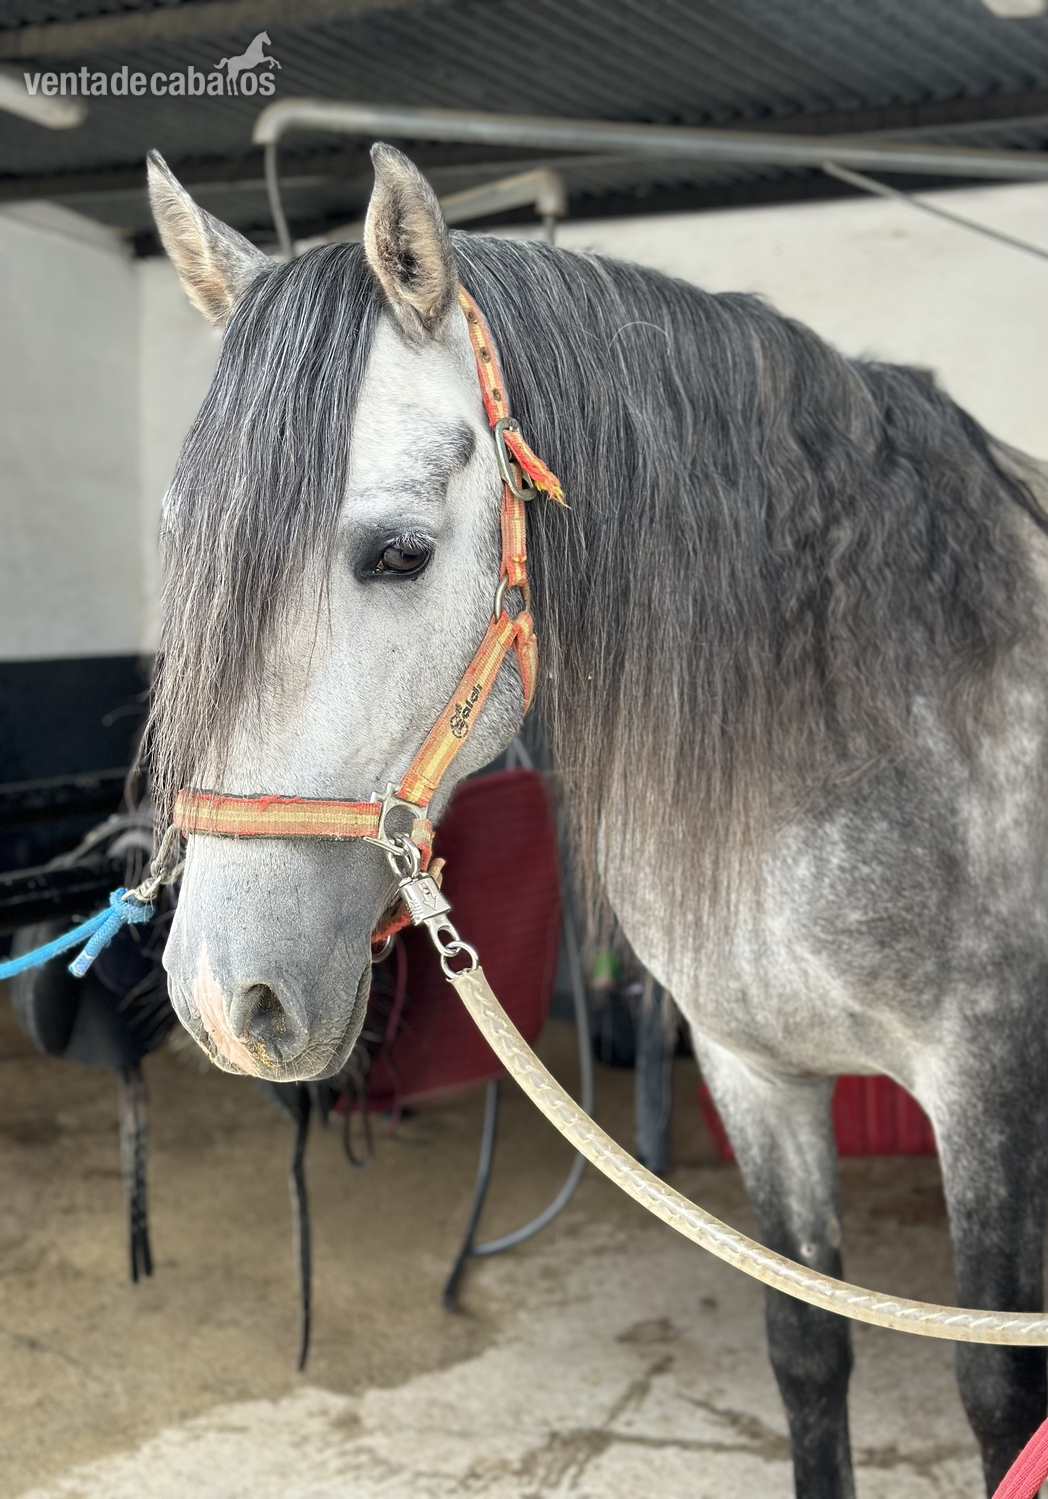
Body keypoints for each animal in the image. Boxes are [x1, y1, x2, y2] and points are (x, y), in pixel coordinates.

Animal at [144, 142, 1048, 1498]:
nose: (220, 997)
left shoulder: (983, 1084)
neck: (877, 703)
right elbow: (808, 1350)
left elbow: (998, 1393)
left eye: (400, 553)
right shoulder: (754, 1071)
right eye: (181, 546)